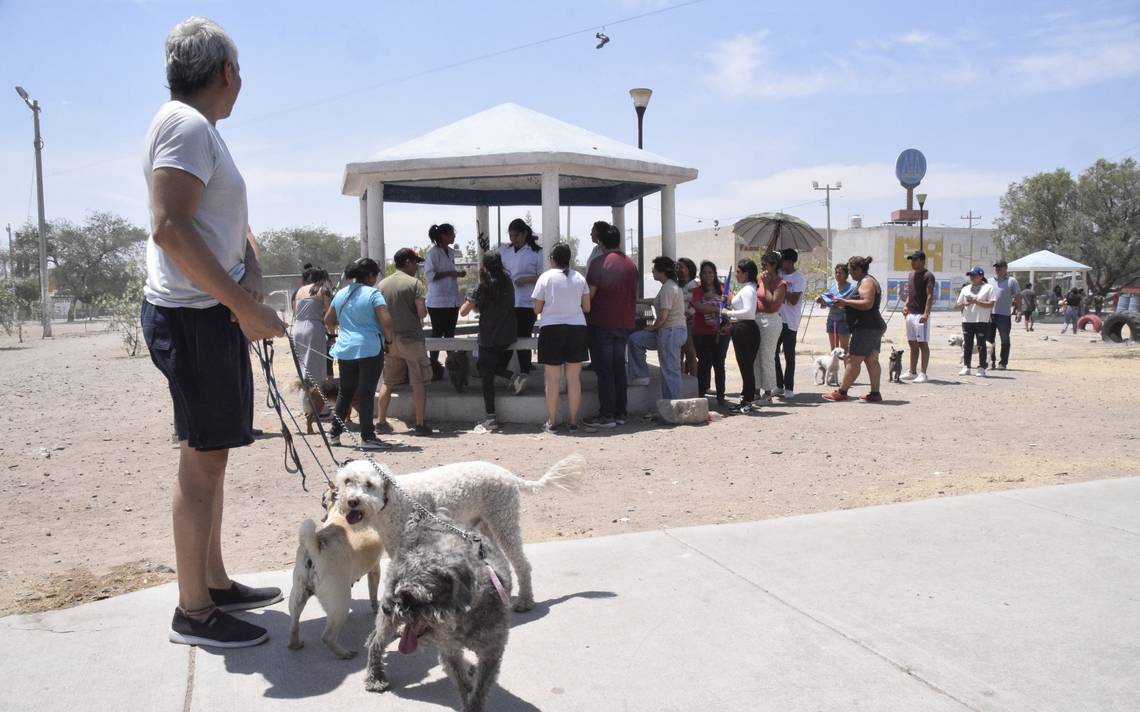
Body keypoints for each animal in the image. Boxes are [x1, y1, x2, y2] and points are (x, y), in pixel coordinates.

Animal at [332, 455, 583, 610]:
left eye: (369, 484)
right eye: (347, 481)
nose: (353, 501)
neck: (392, 500)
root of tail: (508, 475)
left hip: (504, 519)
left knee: (522, 563)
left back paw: (524, 601)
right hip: (487, 525)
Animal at [364, 510, 513, 710]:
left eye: (413, 597)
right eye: (397, 587)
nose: (386, 608)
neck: (464, 619)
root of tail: (424, 519)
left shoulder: (491, 652)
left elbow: (479, 690)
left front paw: (473, 702)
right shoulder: (449, 650)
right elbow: (461, 684)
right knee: (376, 642)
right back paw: (375, 677)